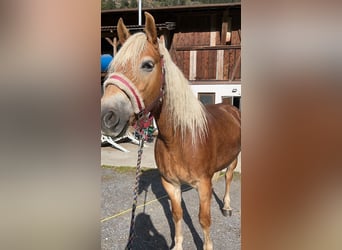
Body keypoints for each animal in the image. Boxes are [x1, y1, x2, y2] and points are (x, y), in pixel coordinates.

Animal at [101, 12, 240, 250]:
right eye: (112, 66)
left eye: (148, 65)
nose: (108, 116)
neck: (181, 139)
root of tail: (229, 107)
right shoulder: (171, 184)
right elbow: (177, 214)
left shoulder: (203, 185)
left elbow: (204, 219)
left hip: (234, 158)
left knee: (229, 177)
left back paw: (227, 207)